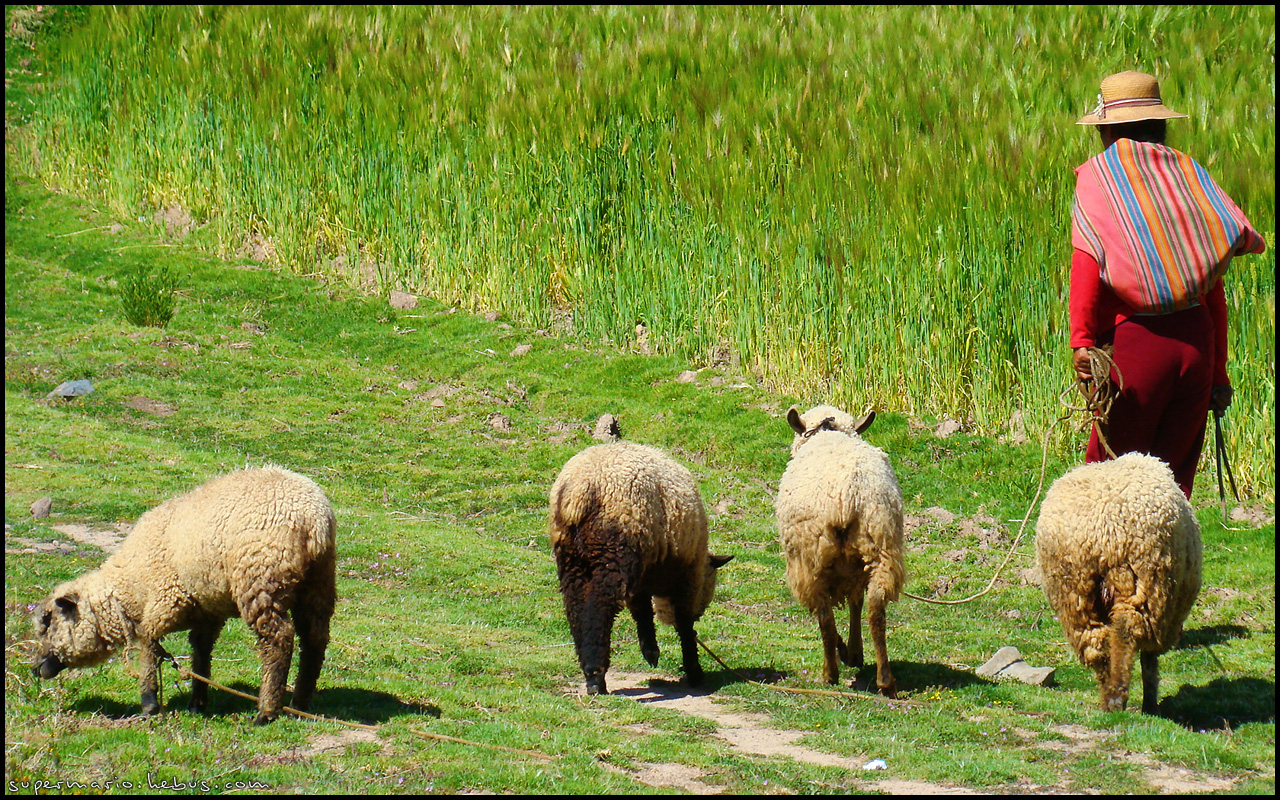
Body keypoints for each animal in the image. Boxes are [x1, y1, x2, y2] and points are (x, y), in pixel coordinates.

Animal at [32, 460, 337, 721]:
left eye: (47, 623)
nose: (35, 668)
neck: (131, 588)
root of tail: (314, 521)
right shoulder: (207, 613)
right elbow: (200, 653)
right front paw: (197, 703)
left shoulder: (165, 601)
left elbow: (150, 647)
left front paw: (149, 704)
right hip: (318, 582)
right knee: (314, 639)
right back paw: (299, 704)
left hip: (260, 578)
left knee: (279, 640)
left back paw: (267, 711)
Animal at [547, 437, 732, 691]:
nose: (700, 614)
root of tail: (580, 490)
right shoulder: (687, 576)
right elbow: (683, 624)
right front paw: (694, 671)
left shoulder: (642, 576)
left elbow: (642, 611)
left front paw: (651, 651)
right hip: (612, 553)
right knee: (599, 606)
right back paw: (596, 675)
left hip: (572, 558)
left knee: (576, 606)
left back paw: (589, 669)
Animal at [773, 401, 906, 696]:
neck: (829, 432)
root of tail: (847, 497)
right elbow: (856, 603)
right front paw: (855, 653)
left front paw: (848, 653)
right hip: (881, 545)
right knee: (876, 609)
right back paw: (885, 680)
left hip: (809, 556)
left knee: (824, 615)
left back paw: (830, 673)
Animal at [1034, 453, 1203, 716]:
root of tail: (1103, 534)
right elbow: (1150, 660)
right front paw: (1150, 702)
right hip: (1142, 584)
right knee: (1125, 634)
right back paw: (1120, 697)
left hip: (1074, 593)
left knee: (1097, 644)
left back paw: (1109, 698)